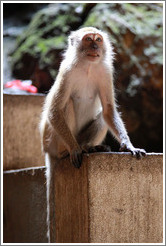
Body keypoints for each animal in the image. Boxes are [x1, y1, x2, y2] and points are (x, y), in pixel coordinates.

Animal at [39, 26, 146, 241]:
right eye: (88, 40)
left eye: (98, 39)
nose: (95, 47)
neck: (88, 66)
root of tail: (47, 150)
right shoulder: (67, 71)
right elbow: (55, 110)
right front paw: (74, 150)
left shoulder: (105, 72)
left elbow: (108, 110)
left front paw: (128, 145)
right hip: (52, 140)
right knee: (66, 105)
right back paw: (68, 151)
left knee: (102, 116)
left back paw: (90, 147)